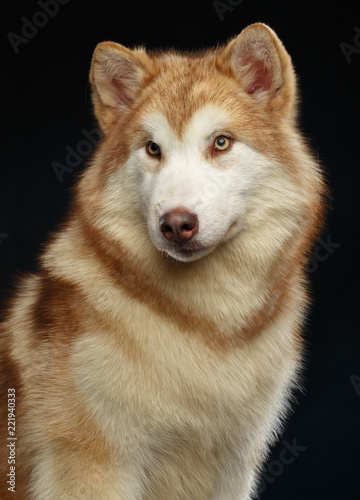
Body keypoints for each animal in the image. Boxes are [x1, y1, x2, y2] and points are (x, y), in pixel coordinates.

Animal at [0, 23, 326, 500]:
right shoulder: (94, 467)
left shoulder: (233, 469)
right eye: (153, 148)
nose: (176, 223)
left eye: (221, 142)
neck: (202, 325)